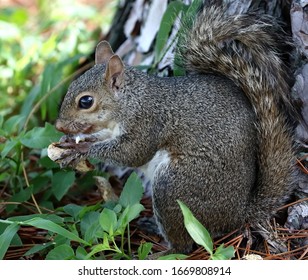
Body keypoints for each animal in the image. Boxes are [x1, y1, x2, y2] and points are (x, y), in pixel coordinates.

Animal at [52, 4, 296, 254]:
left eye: (86, 101)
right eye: (71, 85)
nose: (59, 125)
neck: (131, 100)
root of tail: (238, 214)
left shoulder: (147, 122)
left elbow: (133, 153)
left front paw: (82, 149)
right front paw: (71, 144)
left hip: (174, 188)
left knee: (184, 245)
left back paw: (163, 251)